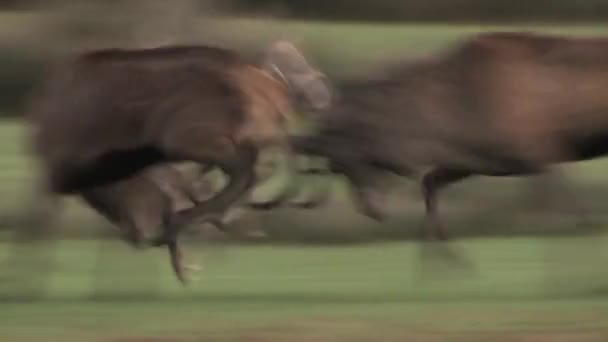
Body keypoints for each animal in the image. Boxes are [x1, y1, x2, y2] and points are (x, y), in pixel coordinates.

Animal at [282, 31, 608, 240]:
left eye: (353, 157)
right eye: (335, 168)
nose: (371, 209)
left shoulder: (534, 151)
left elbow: (571, 203)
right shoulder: (480, 161)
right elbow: (430, 184)